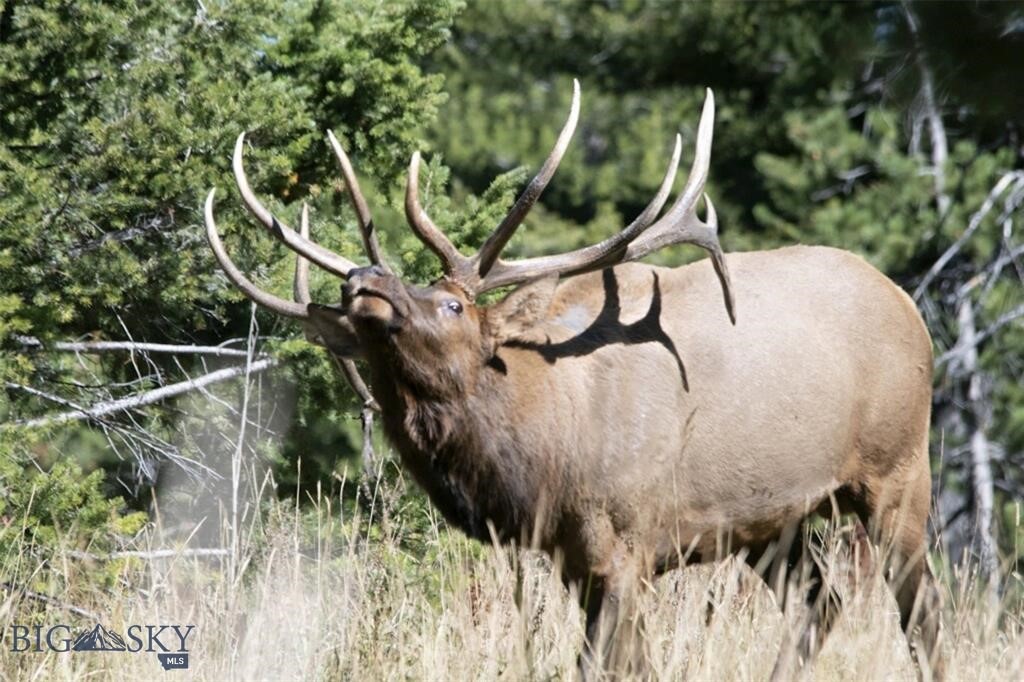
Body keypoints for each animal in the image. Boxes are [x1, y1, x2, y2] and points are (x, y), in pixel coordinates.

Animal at [203, 81, 944, 679]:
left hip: (899, 469)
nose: (363, 280)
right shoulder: (575, 558)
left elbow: (611, 664)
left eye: (452, 304)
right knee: (822, 599)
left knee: (920, 608)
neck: (546, 450)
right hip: (771, 520)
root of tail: (912, 308)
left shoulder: (628, 543)